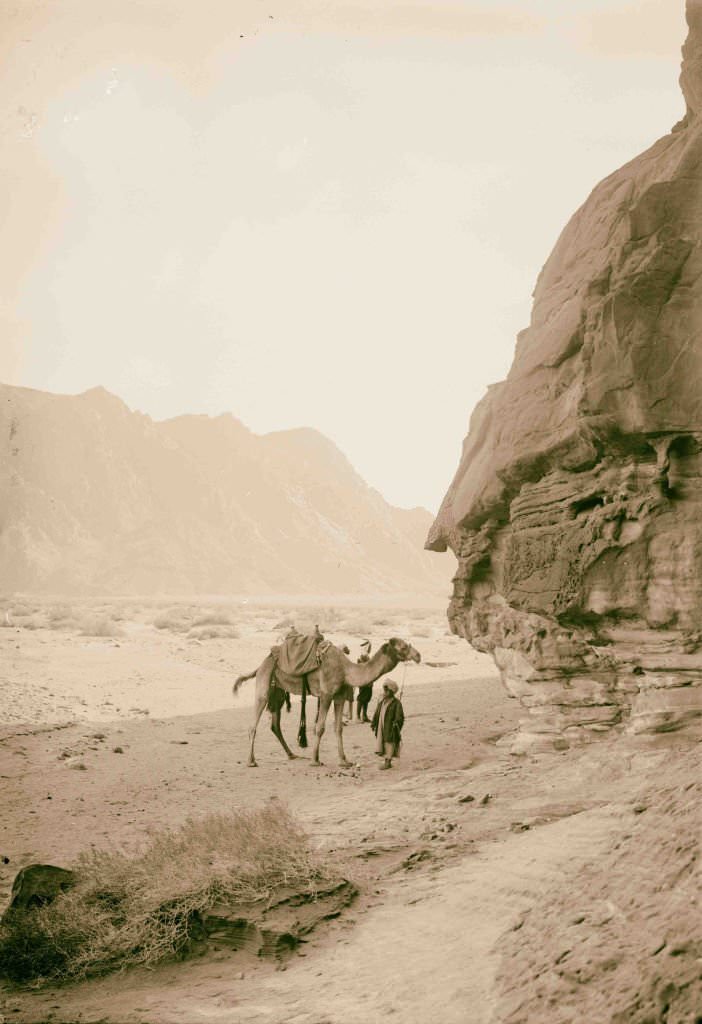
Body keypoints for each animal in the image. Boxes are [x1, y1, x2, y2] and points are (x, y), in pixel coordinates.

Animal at [233, 634, 421, 770]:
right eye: (403, 647)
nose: (418, 655)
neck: (346, 670)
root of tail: (260, 665)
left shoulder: (339, 696)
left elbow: (338, 728)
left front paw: (344, 761)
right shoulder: (326, 694)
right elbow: (320, 727)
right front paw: (315, 760)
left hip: (278, 691)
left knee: (275, 725)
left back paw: (291, 754)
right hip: (264, 684)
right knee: (253, 724)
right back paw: (251, 761)